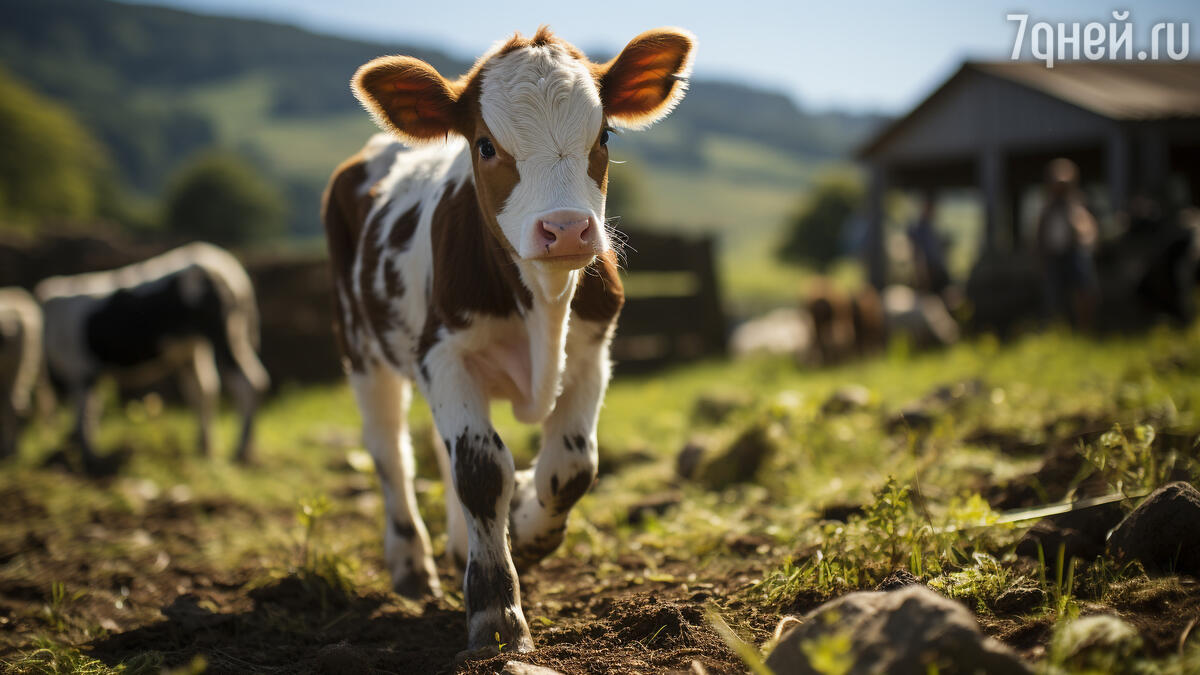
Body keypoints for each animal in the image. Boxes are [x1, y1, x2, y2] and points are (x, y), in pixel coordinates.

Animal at [36, 242, 271, 473]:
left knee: (248, 382)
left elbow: (85, 413)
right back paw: (204, 450)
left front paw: (90, 461)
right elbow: (90, 411)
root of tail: (233, 271)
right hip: (194, 346)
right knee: (204, 389)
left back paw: (240, 453)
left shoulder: (81, 368)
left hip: (223, 331)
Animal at [321, 27, 696, 653]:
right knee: (390, 450)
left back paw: (457, 548)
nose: (566, 229)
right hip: (361, 348)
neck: (543, 302)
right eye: (485, 145)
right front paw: (496, 613)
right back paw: (411, 566)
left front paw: (525, 524)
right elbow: (480, 469)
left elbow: (572, 466)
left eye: (604, 135)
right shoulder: (444, 353)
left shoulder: (592, 353)